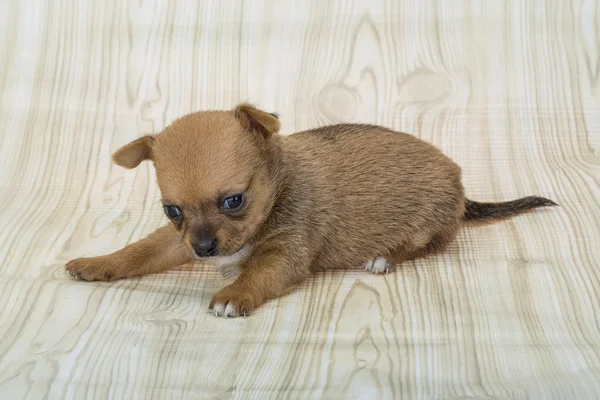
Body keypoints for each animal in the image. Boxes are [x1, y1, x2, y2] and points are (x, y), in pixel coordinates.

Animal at [63, 104, 556, 318]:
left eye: (234, 200)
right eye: (172, 210)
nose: (204, 250)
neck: (279, 185)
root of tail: (458, 181)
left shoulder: (286, 256)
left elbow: (258, 274)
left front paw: (235, 293)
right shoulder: (176, 241)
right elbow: (138, 252)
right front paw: (97, 262)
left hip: (429, 224)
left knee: (426, 245)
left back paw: (382, 257)